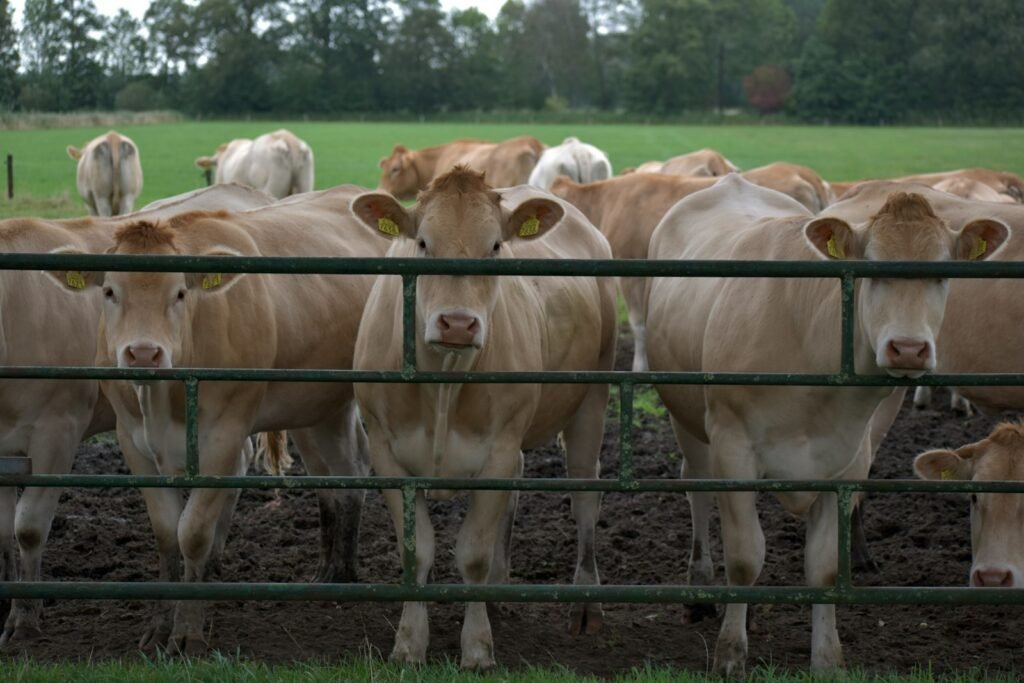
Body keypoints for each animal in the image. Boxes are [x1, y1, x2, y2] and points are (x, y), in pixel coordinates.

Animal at [42, 186, 388, 654]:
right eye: (110, 291)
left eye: (180, 293)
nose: (144, 353)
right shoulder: (133, 441)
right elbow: (166, 534)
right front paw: (158, 627)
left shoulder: (224, 436)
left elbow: (193, 533)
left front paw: (188, 632)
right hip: (320, 406)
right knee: (340, 473)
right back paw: (332, 573)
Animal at [351, 167, 616, 670]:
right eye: (422, 243)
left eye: (494, 246)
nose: (457, 323)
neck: (443, 382)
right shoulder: (386, 454)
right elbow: (416, 553)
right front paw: (409, 644)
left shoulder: (496, 452)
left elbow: (471, 553)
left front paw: (476, 647)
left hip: (592, 397)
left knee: (586, 497)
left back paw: (586, 605)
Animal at [644, 174, 1010, 674]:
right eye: (870, 268)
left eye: (942, 272)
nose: (909, 349)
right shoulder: (733, 445)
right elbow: (744, 556)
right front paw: (730, 652)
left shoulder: (848, 462)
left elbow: (823, 566)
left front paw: (826, 657)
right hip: (687, 417)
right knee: (697, 486)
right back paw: (700, 586)